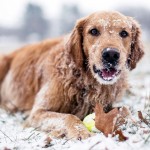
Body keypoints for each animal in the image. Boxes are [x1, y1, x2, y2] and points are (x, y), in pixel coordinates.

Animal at [0, 11, 144, 139]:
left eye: (124, 33)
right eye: (93, 31)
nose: (111, 54)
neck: (84, 81)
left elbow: (125, 109)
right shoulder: (37, 113)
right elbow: (68, 116)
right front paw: (80, 131)